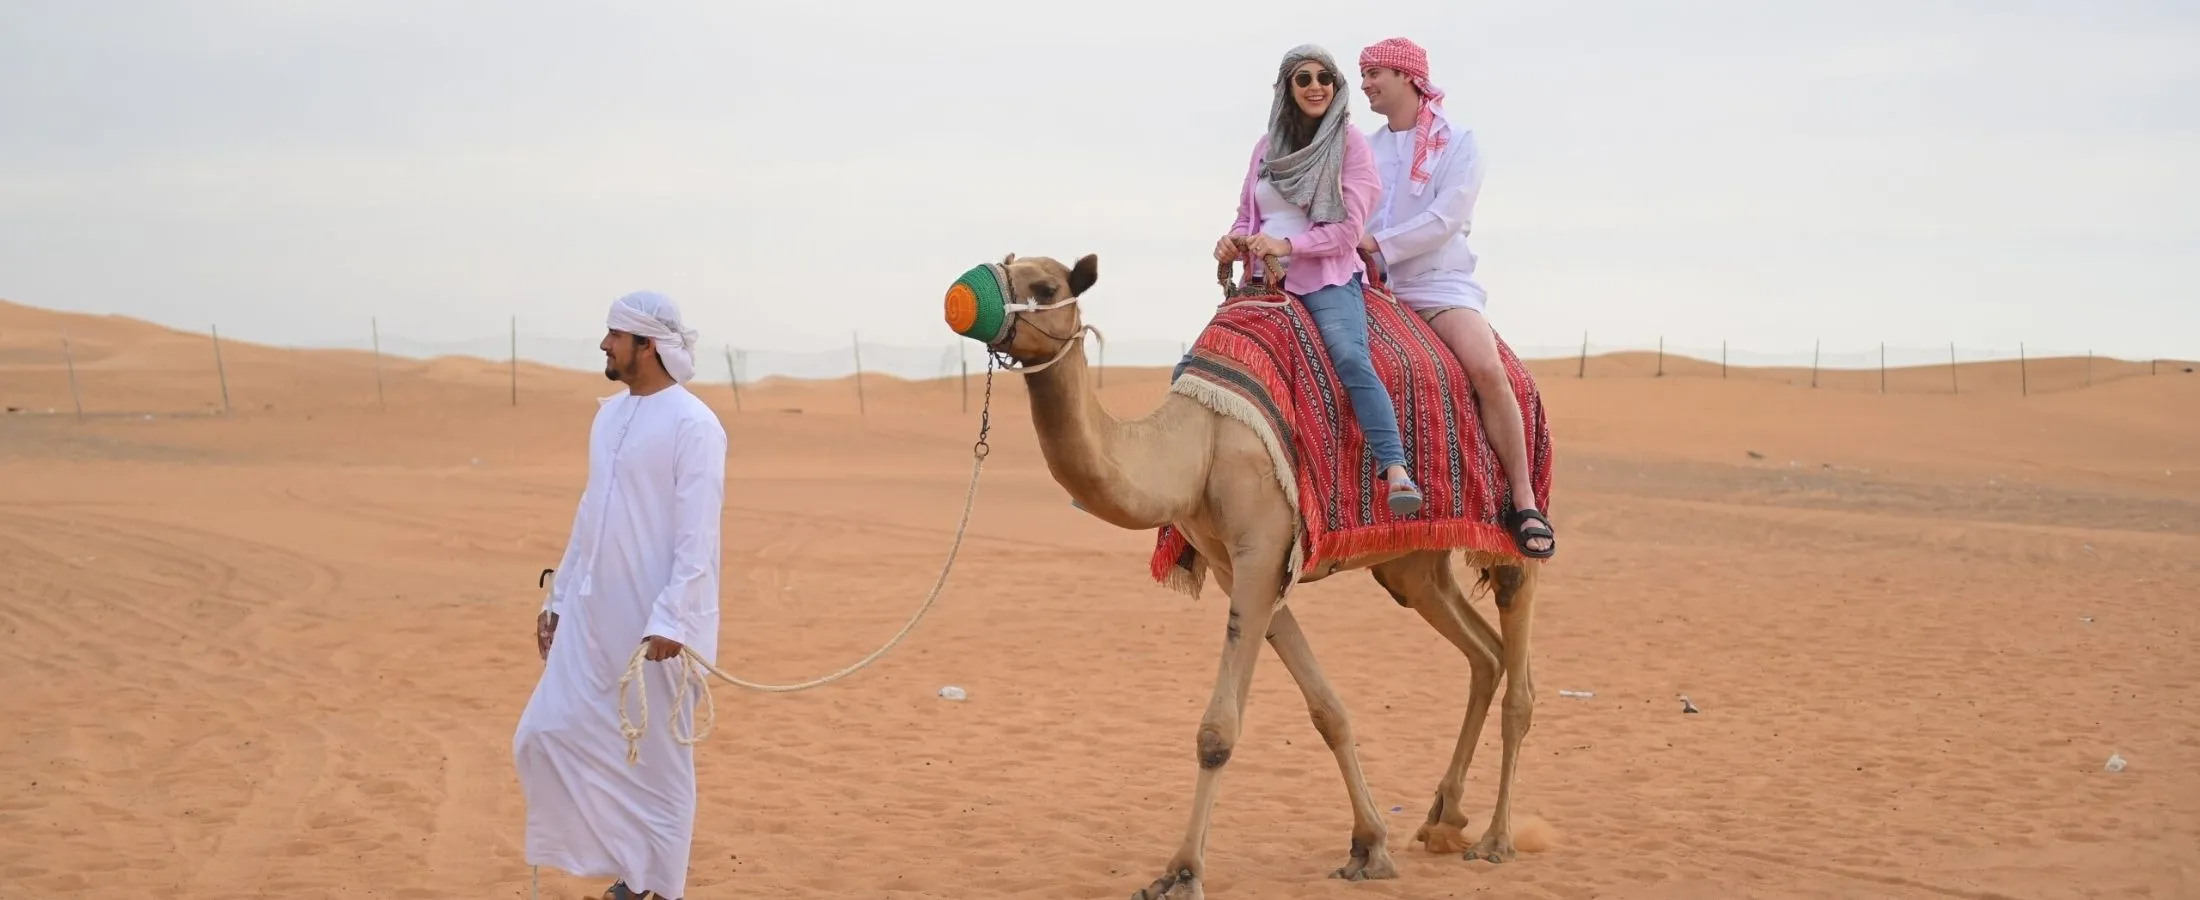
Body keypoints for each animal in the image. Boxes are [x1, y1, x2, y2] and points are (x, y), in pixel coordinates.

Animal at [959, 247, 1548, 897]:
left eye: (1043, 288)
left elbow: (1218, 733)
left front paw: (1181, 872)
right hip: (1412, 565)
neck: (1200, 444)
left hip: (1511, 520)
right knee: (1484, 653)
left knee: (1519, 669)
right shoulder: (1239, 568)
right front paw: (1369, 846)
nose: (961, 297)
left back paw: (1496, 840)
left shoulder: (1261, 552)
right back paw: (1443, 819)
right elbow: (1327, 711)